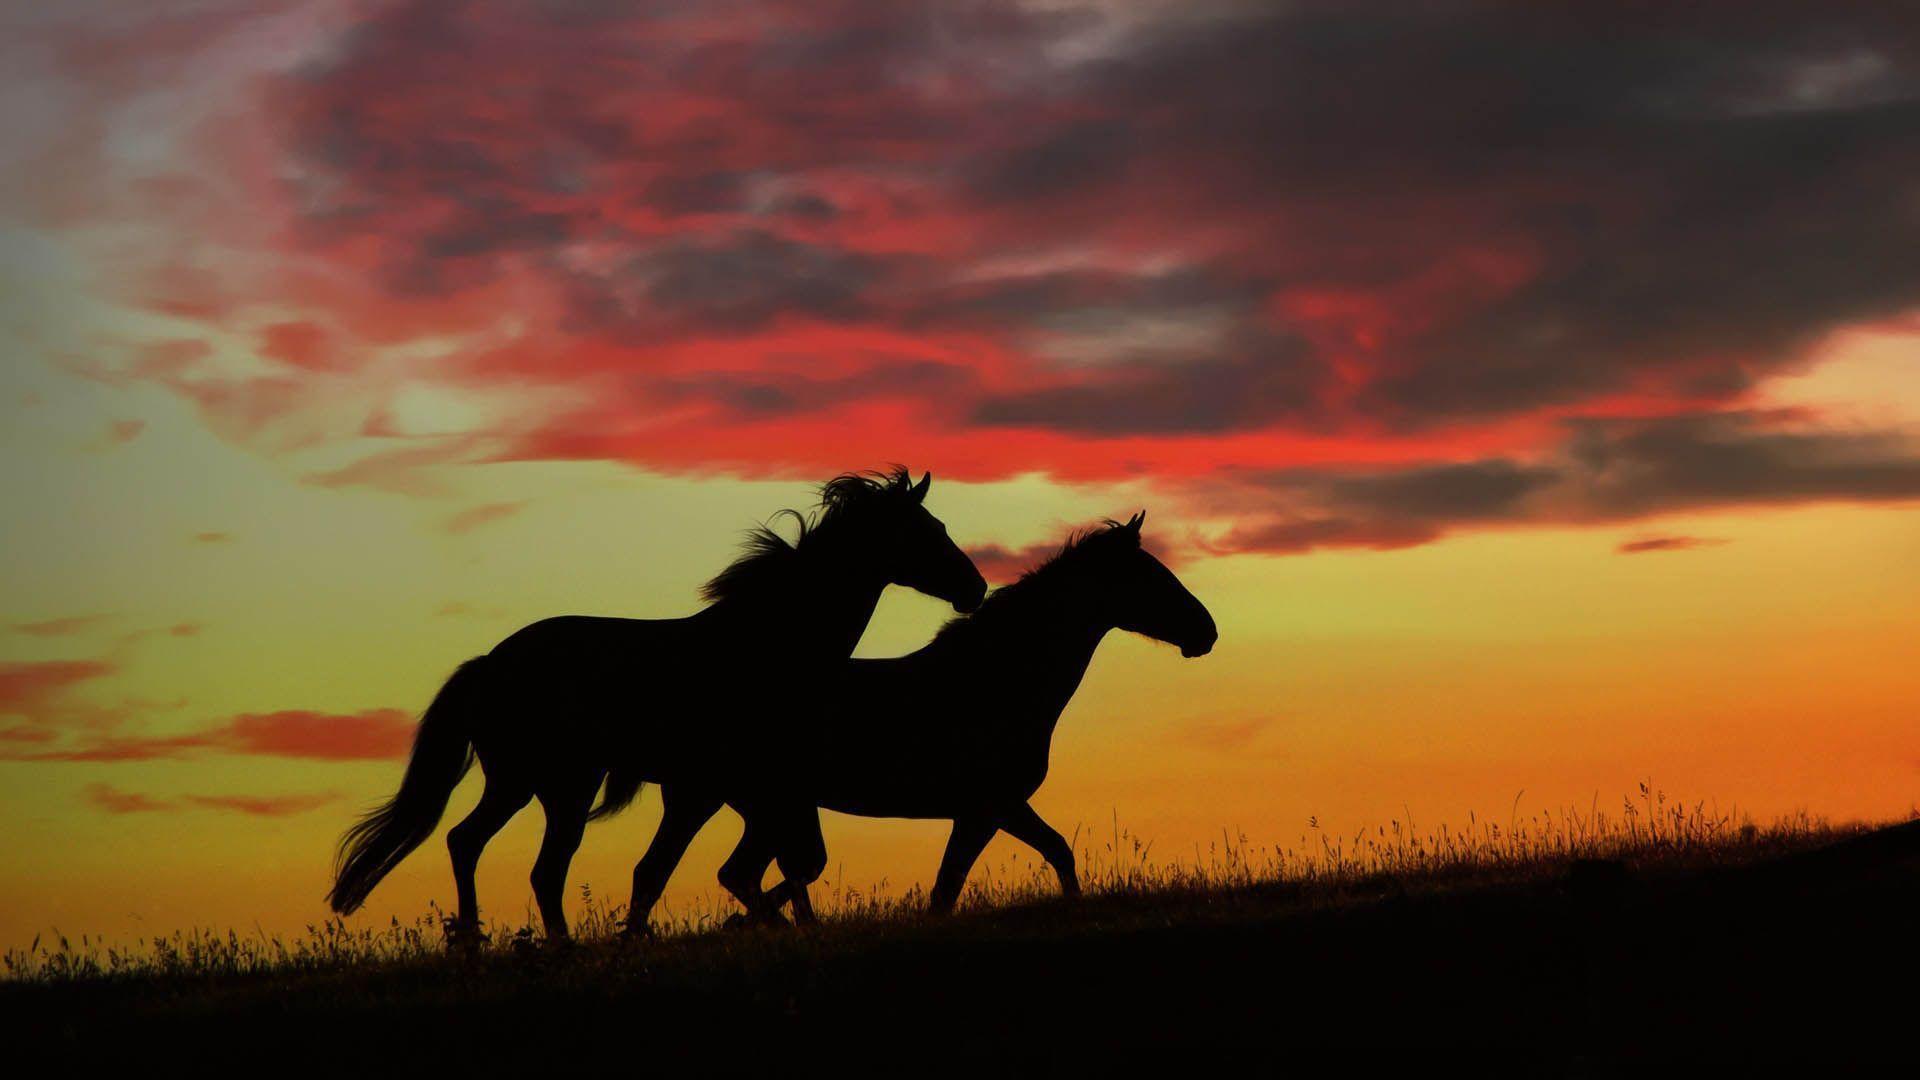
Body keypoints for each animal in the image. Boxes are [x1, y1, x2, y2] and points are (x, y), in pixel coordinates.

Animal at [325, 468, 986, 941]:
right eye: (930, 531)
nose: (975, 588)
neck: (764, 645)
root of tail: (490, 663)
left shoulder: (730, 791)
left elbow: (700, 870)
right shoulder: (717, 789)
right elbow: (698, 870)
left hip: (528, 784)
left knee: (474, 845)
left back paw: (478, 942)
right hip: (554, 784)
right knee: (531, 863)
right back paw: (535, 946)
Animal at [620, 511, 1215, 929]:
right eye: (1151, 576)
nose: (1207, 632)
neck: (998, 682)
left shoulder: (996, 808)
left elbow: (1052, 854)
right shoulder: (986, 808)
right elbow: (950, 889)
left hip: (750, 807)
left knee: (722, 872)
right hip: (738, 803)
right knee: (729, 873)